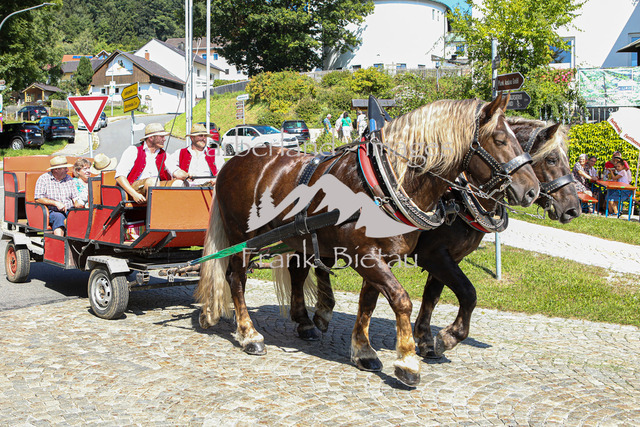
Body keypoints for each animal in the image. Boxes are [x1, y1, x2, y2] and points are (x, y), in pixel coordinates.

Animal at [195, 94, 540, 386]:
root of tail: (233, 161)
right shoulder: (373, 254)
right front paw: (408, 361)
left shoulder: (383, 257)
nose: (531, 191)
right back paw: (248, 333)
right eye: (500, 139)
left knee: (294, 272)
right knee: (236, 278)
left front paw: (364, 350)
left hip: (297, 237)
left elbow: (370, 302)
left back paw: (302, 322)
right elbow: (402, 300)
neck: (387, 181)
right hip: (243, 238)